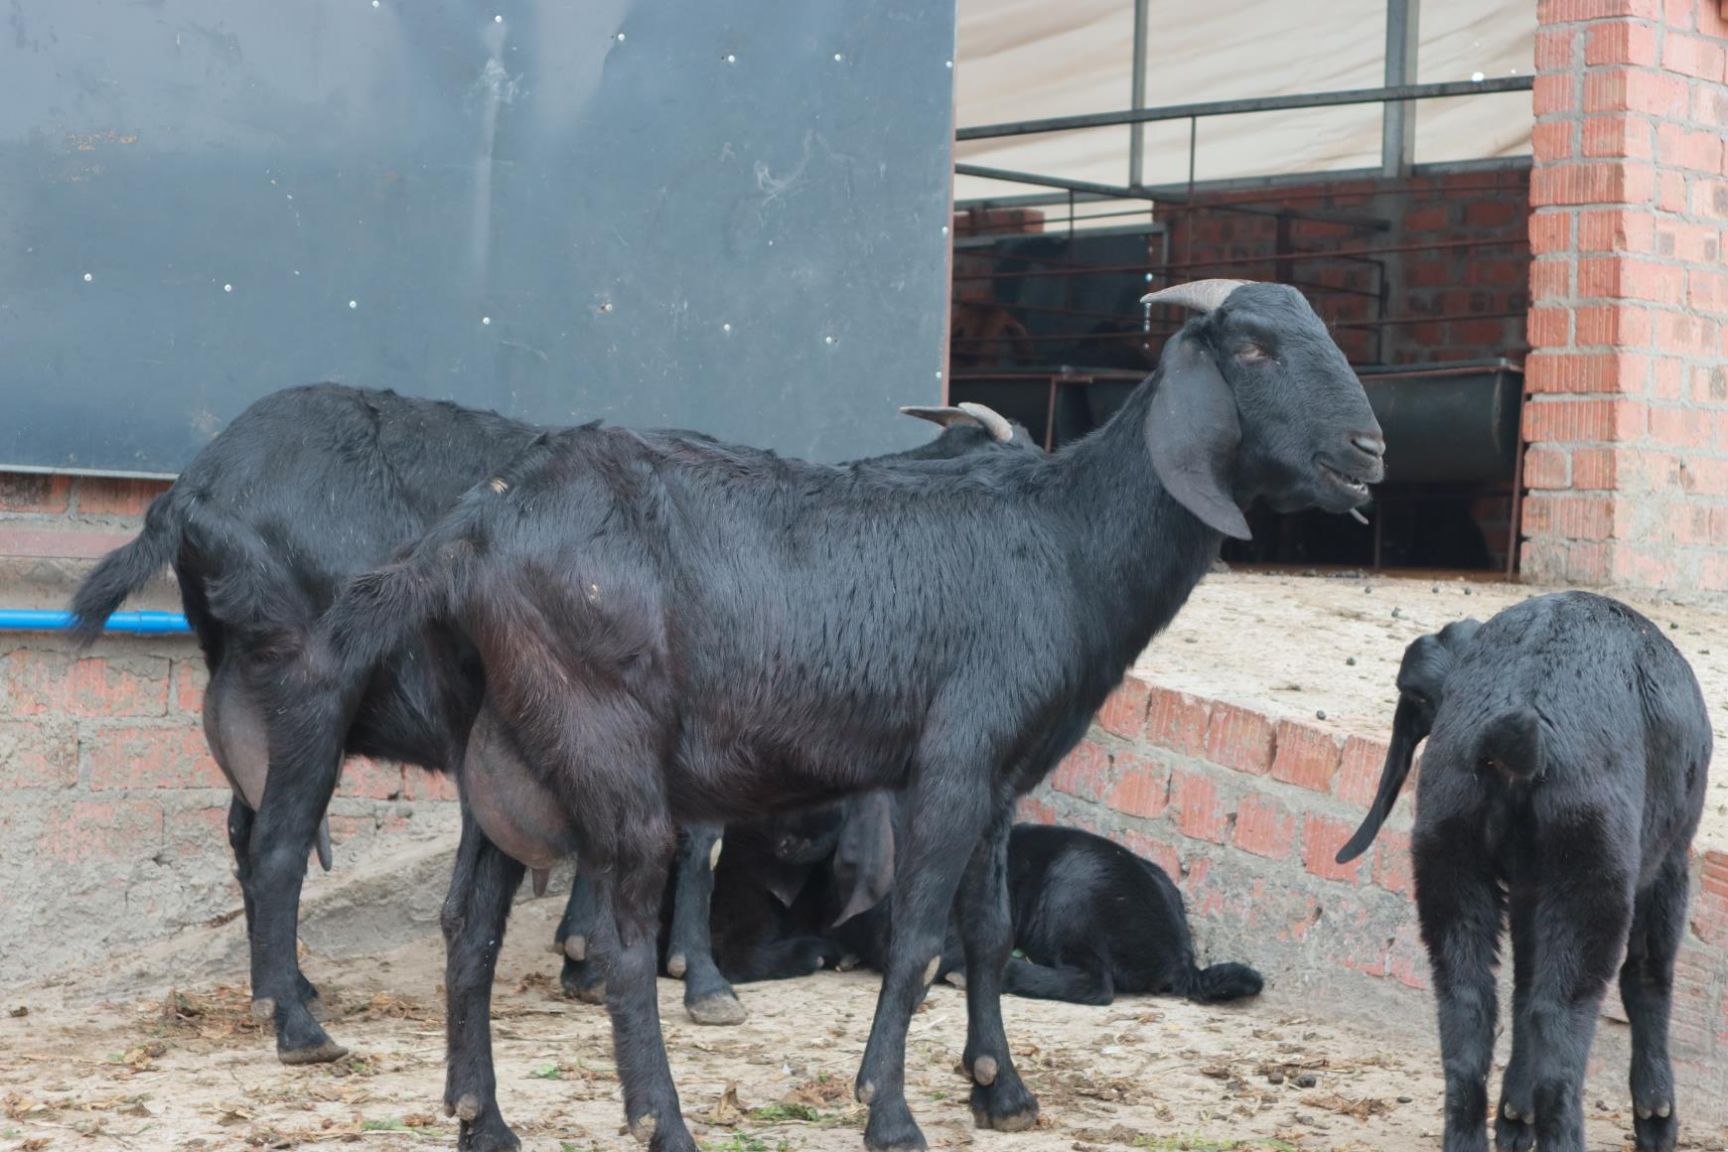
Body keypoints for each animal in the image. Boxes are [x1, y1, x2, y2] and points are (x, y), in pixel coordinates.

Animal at [63, 385, 1022, 1057]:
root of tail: (193, 489)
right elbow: (699, 844)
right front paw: (699, 983)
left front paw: (583, 957)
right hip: (312, 689)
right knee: (278, 847)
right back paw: (294, 1025)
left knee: (246, 831)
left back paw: (293, 984)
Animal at [304, 281, 1382, 1152]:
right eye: (1254, 349)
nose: (1369, 448)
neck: (1065, 540)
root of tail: (468, 534)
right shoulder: (949, 764)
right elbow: (917, 940)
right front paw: (891, 1114)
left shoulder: (1000, 778)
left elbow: (988, 928)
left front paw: (1001, 1091)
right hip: (602, 741)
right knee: (618, 940)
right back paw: (663, 1121)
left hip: (505, 755)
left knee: (469, 926)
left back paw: (484, 1123)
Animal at [1327, 594, 1707, 1152]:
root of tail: (1517, 722)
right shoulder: (1670, 862)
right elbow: (1648, 976)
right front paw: (1656, 1114)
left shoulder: (1528, 887)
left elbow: (1522, 983)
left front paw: (1513, 1114)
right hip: (1593, 875)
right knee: (1559, 1024)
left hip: (1449, 856)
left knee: (1469, 1010)